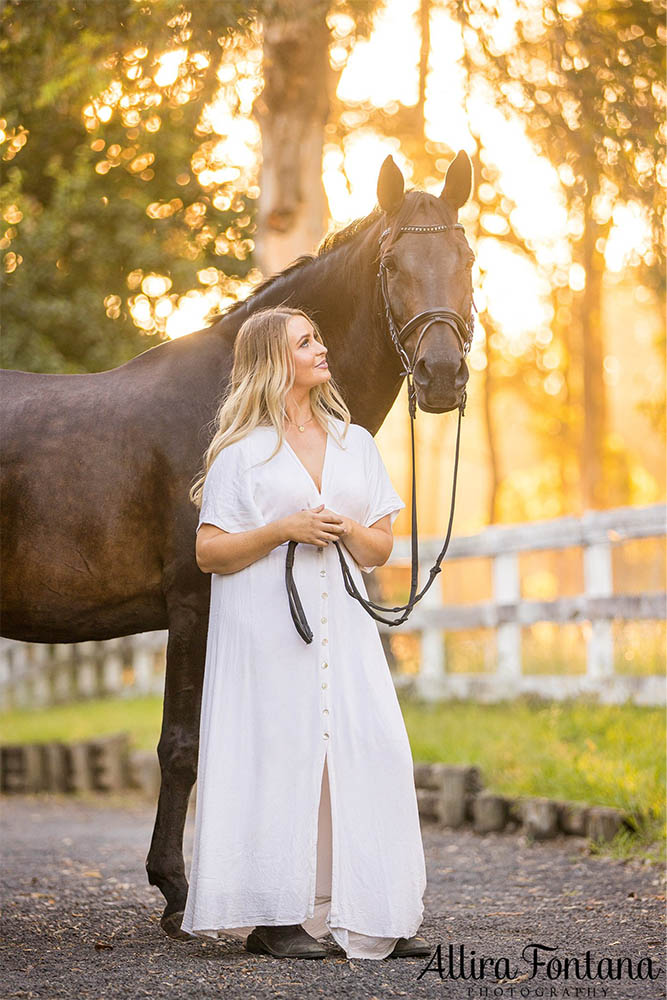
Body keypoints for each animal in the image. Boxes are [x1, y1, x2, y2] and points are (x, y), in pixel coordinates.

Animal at [2, 150, 478, 936]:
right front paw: (176, 893)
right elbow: (182, 747)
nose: (441, 377)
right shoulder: (195, 600)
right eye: (391, 264)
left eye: (466, 259)